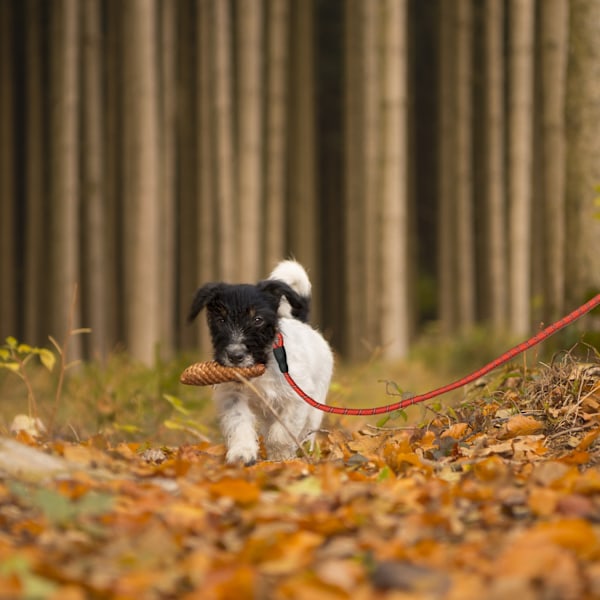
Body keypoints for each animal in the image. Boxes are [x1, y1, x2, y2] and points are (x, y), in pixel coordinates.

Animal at [188, 258, 332, 464]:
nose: (235, 356)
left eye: (258, 319)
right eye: (220, 320)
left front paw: (280, 456)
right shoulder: (232, 395)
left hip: (315, 405)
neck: (264, 365)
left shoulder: (296, 398)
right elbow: (239, 422)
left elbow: (282, 432)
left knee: (307, 430)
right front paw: (242, 452)